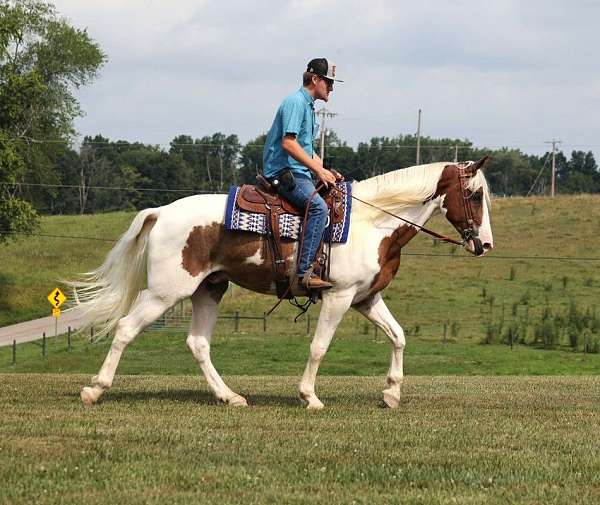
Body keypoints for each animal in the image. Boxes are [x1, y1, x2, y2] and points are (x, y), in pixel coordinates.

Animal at [71, 158, 492, 410]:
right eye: (474, 194)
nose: (484, 244)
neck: (372, 223)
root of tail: (161, 212)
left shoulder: (366, 299)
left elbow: (398, 336)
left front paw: (390, 393)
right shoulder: (339, 297)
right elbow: (319, 346)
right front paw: (310, 396)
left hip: (209, 289)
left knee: (198, 343)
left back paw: (230, 396)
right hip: (165, 292)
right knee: (126, 328)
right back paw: (94, 389)